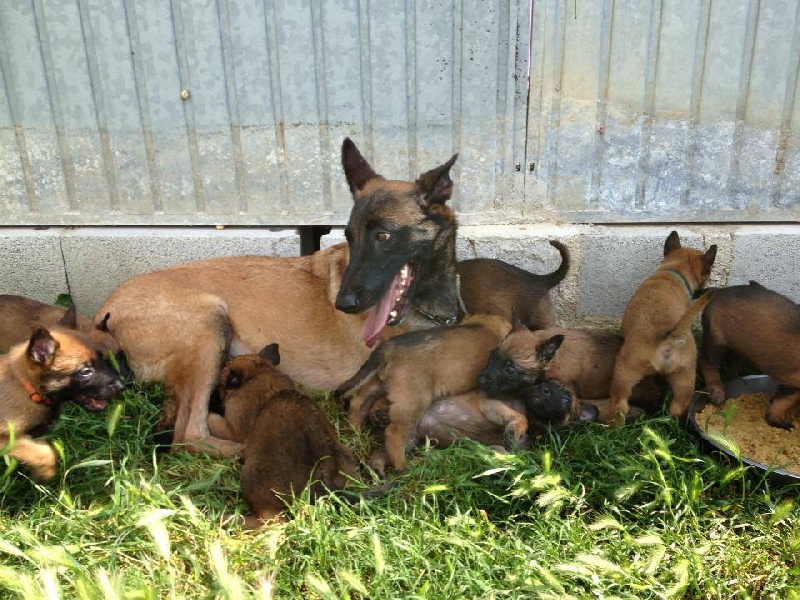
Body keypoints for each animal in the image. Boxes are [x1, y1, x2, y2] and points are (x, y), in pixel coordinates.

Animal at [0, 326, 125, 480]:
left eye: (103, 362)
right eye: (85, 371)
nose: (122, 386)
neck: (29, 387)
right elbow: (45, 452)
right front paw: (45, 474)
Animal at [209, 344, 360, 528]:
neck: (260, 372)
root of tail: (324, 480)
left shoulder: (234, 429)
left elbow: (214, 421)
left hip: (252, 477)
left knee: (272, 522)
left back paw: (228, 518)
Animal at [338, 312, 512, 472]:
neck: (487, 325)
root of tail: (390, 347)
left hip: (379, 383)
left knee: (358, 403)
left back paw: (354, 431)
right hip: (412, 402)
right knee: (393, 434)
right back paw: (403, 467)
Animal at [608, 230, 720, 422]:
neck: (674, 271)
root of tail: (668, 337)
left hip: (624, 374)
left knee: (619, 404)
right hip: (684, 378)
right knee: (678, 407)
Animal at [696, 282, 800, 432]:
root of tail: (720, 290)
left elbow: (784, 399)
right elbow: (786, 399)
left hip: (735, 346)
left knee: (730, 362)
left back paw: (736, 377)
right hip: (715, 341)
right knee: (708, 363)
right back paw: (717, 391)